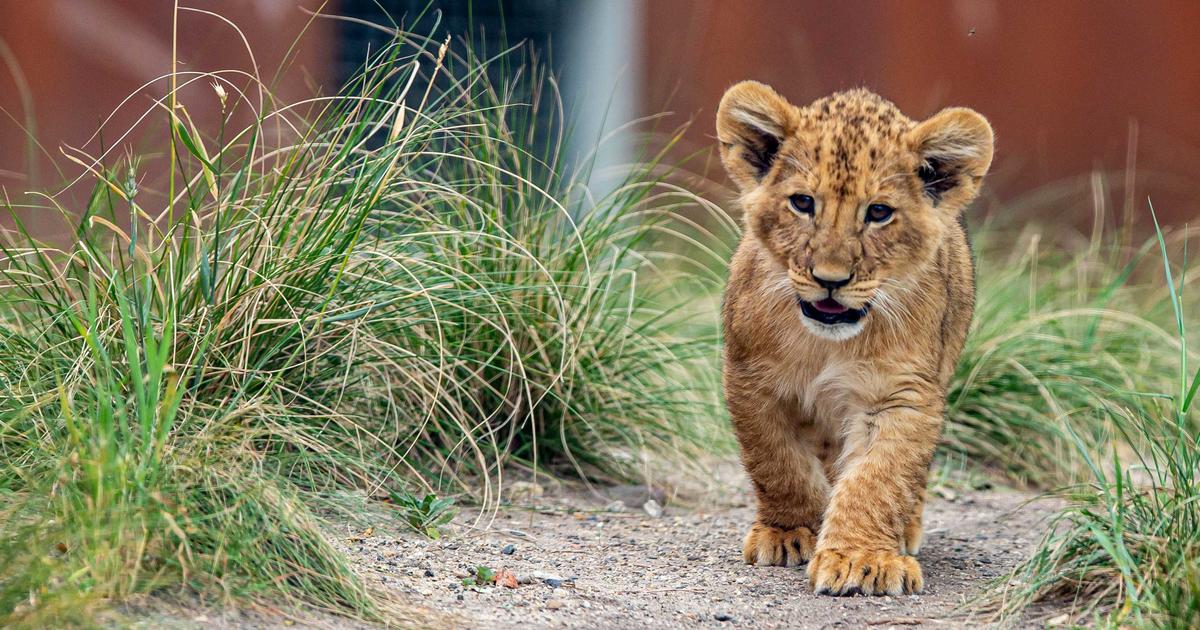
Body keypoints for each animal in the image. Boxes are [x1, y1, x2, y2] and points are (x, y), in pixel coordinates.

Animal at [716, 82, 993, 596]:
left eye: (879, 212)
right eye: (803, 203)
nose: (830, 280)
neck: (829, 343)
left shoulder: (902, 394)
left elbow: (879, 478)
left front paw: (861, 557)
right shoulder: (750, 379)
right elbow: (778, 462)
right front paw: (790, 531)